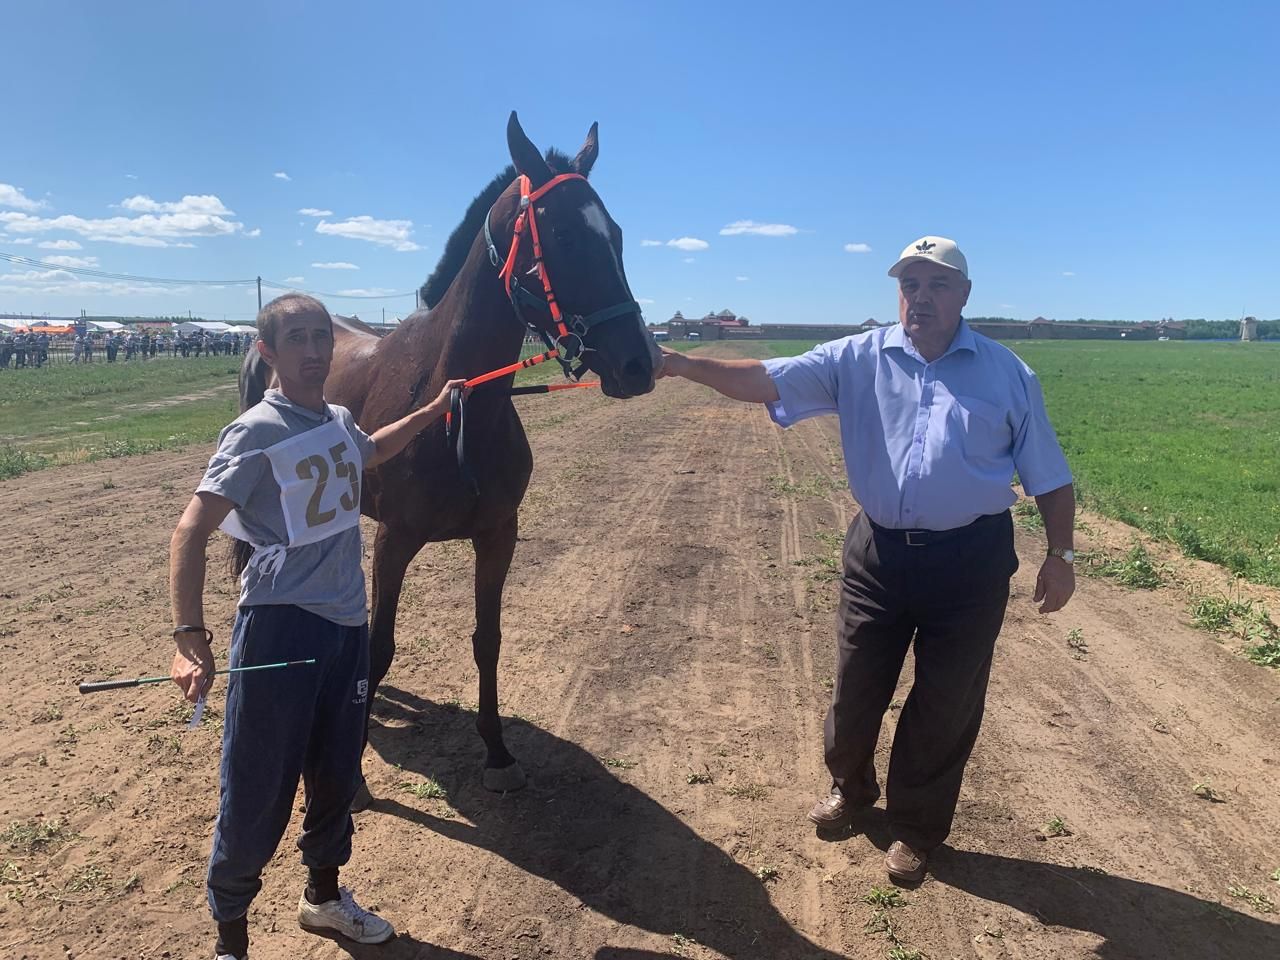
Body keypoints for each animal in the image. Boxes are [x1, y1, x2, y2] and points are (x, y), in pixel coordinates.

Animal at [240, 114, 660, 788]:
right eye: (564, 235)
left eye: (616, 234)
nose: (639, 363)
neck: (456, 406)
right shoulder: (396, 540)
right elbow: (381, 646)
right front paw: (354, 771)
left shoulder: (497, 536)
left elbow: (487, 638)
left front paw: (496, 750)